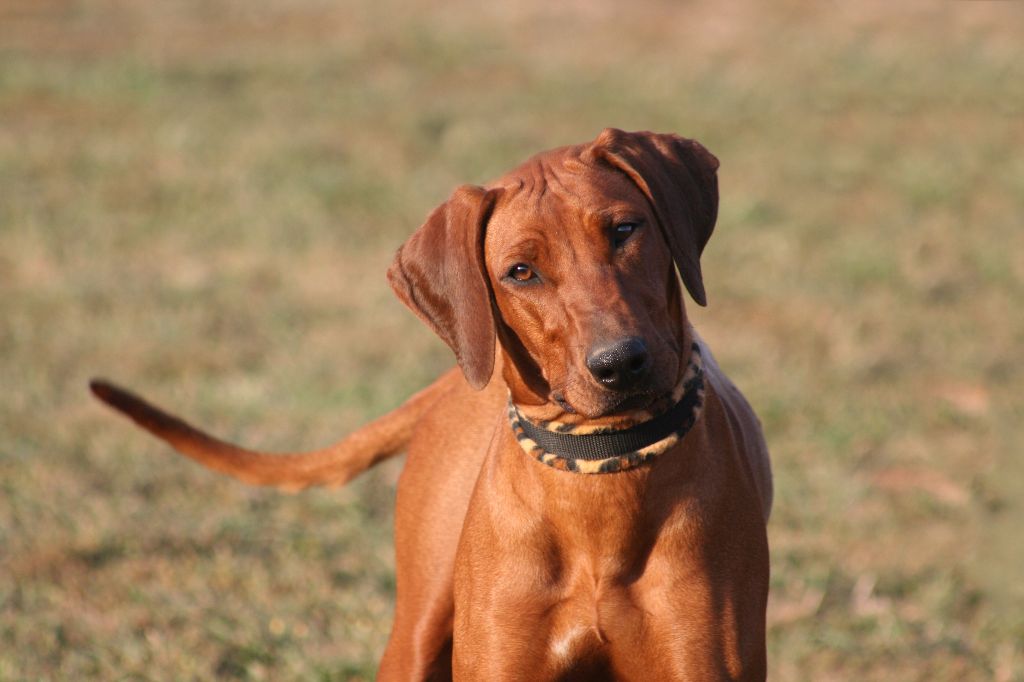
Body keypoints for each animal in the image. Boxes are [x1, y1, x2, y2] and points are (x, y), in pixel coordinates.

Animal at [94, 129, 770, 679]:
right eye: (521, 271)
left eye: (625, 230)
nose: (620, 362)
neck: (600, 471)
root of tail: (452, 382)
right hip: (415, 633)